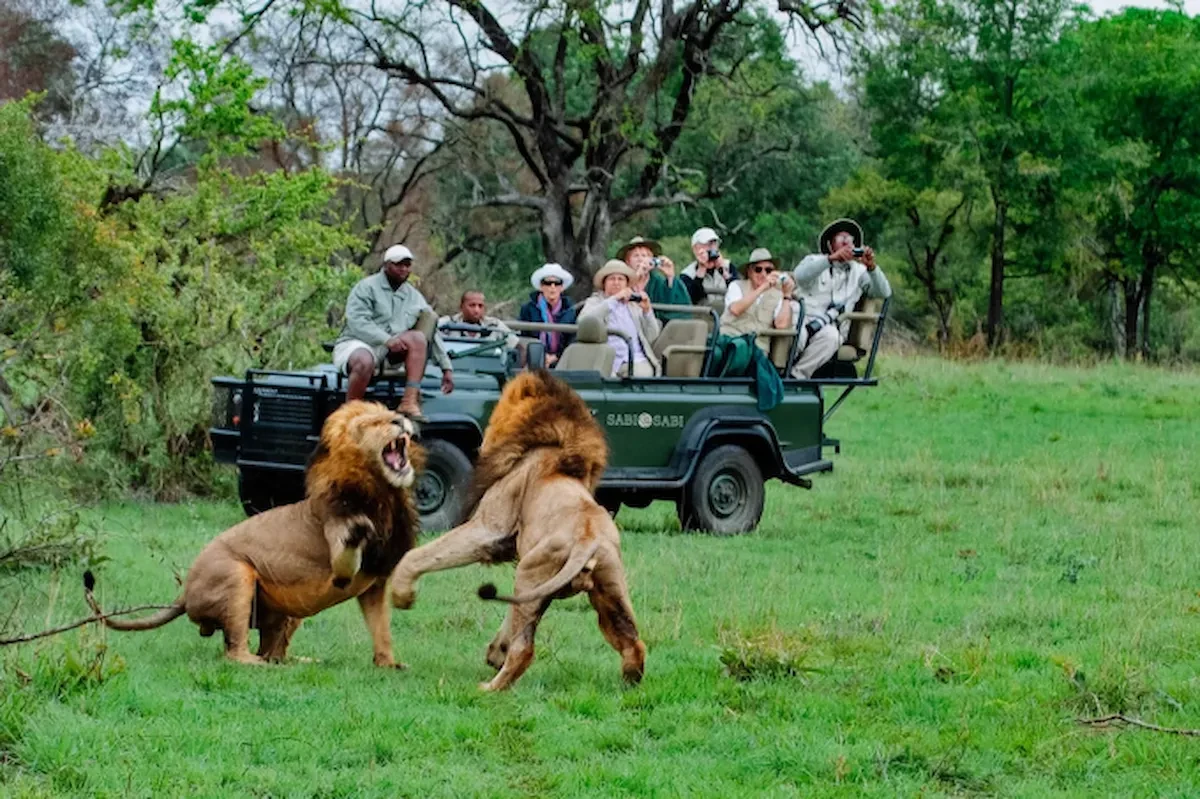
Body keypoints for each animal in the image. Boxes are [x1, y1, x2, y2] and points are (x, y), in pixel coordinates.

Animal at [84, 398, 422, 667]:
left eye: (391, 413)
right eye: (370, 423)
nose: (400, 420)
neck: (385, 494)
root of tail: (184, 592)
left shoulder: (376, 583)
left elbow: (382, 630)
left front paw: (388, 664)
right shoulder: (340, 558)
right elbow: (346, 557)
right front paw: (360, 530)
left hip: (287, 610)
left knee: (273, 650)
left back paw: (297, 661)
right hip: (237, 576)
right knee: (235, 652)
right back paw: (261, 665)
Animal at [391, 369, 648, 686]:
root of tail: (588, 541)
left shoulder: (488, 529)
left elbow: (417, 555)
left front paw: (402, 595)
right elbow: (511, 615)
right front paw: (495, 652)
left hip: (530, 570)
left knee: (524, 649)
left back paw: (489, 687)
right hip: (607, 586)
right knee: (633, 642)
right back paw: (629, 682)